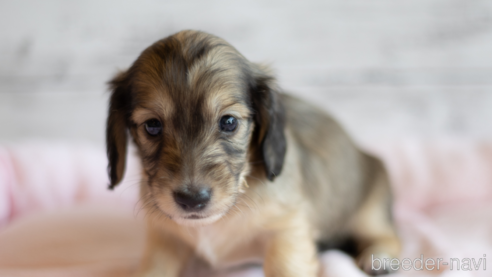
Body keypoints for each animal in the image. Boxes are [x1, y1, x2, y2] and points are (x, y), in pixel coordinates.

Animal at [104, 29, 400, 274]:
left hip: (369, 209)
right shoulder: (164, 239)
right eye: (152, 126)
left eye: (229, 122)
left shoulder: (287, 232)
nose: (192, 200)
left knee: (388, 234)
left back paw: (380, 255)